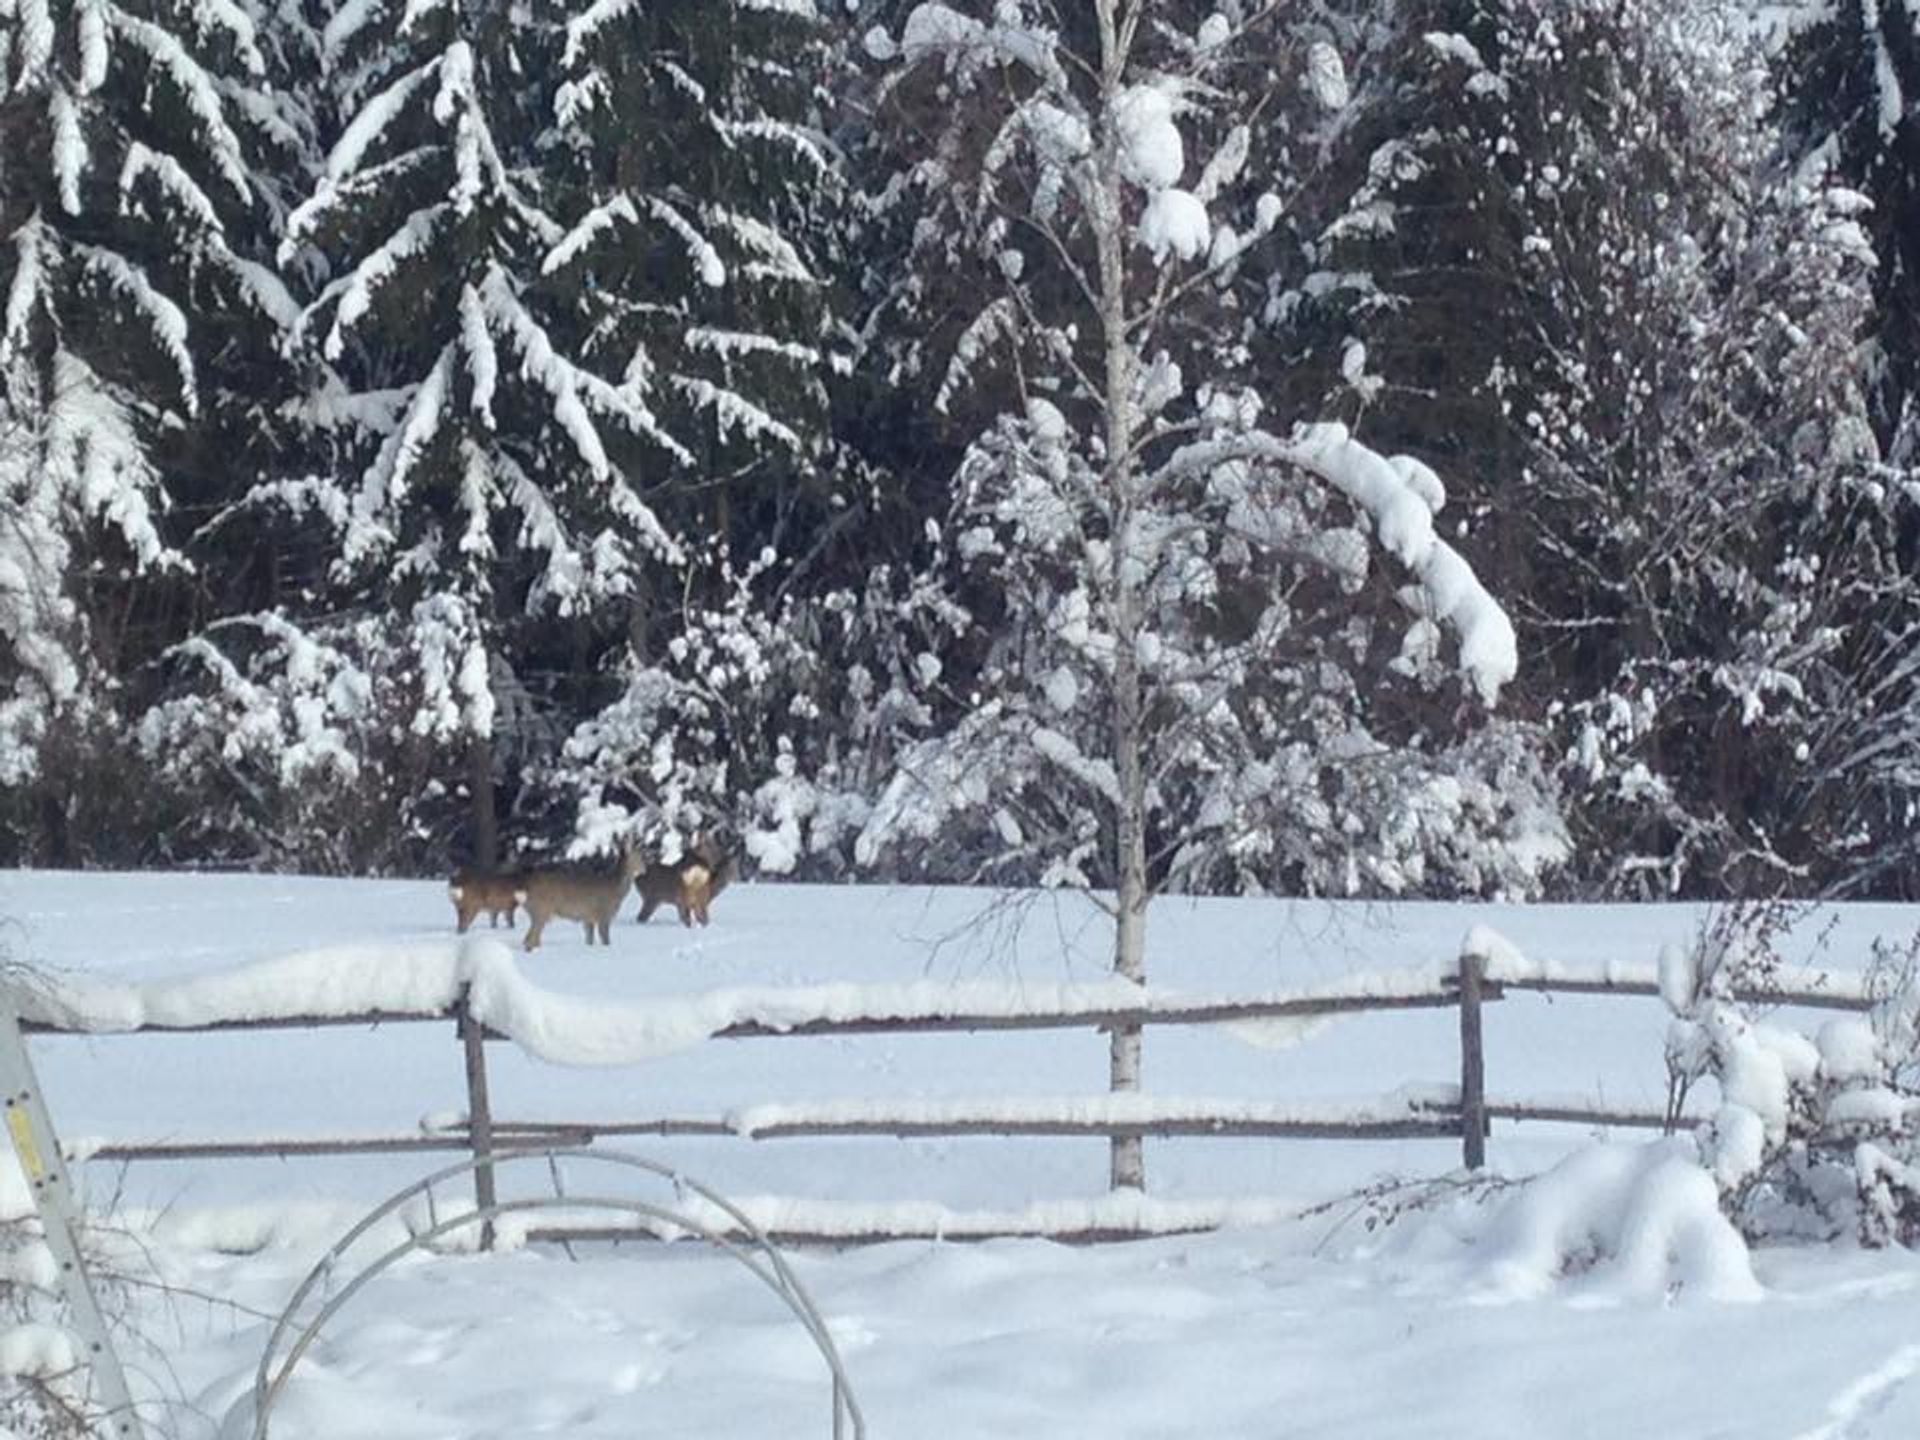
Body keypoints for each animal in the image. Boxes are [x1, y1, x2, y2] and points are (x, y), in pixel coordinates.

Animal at [514, 852, 648, 952]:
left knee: (529, 938)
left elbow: (589, 940)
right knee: (530, 938)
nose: (645, 869)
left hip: (538, 912)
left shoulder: (588, 918)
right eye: (639, 856)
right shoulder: (604, 914)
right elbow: (606, 940)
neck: (616, 889)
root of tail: (526, 887)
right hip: (542, 909)